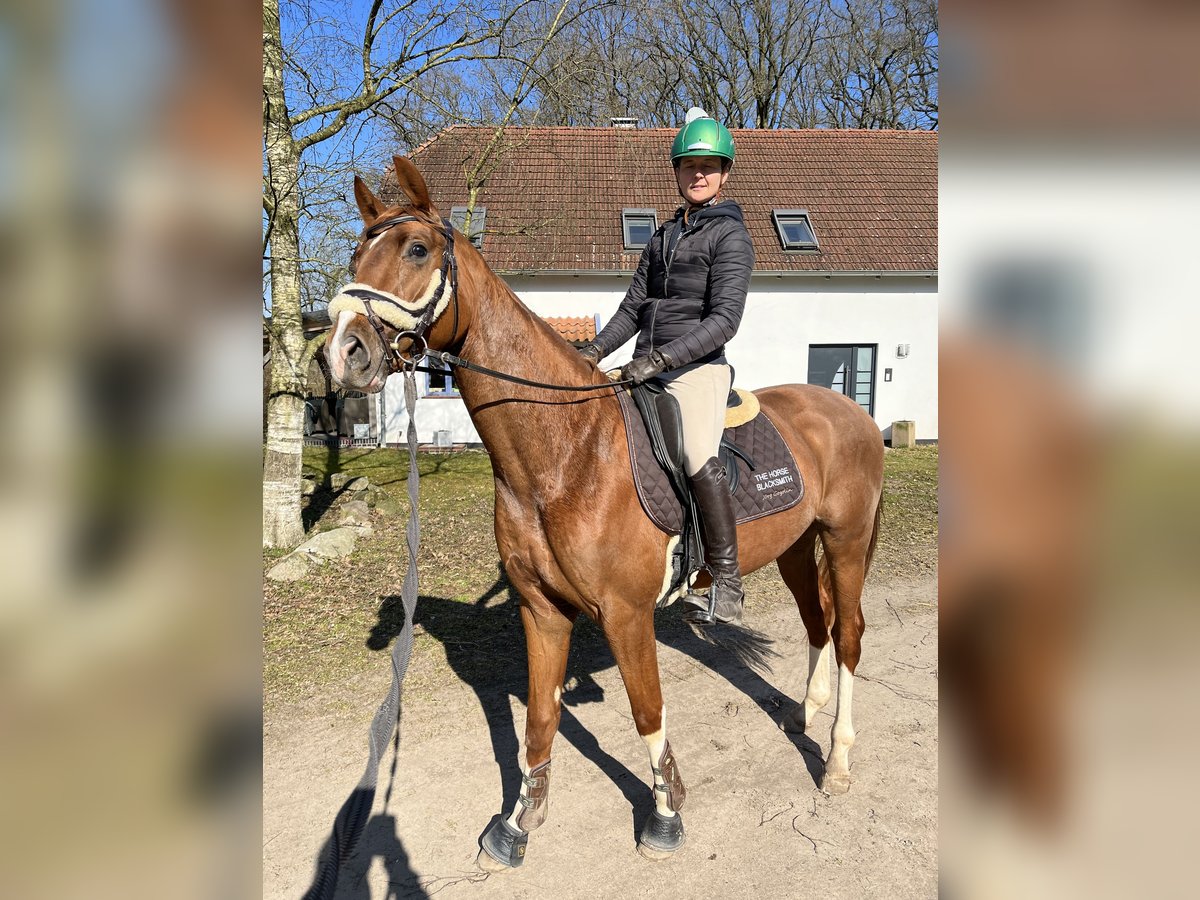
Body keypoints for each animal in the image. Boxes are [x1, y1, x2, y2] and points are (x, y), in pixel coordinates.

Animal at [324, 156, 885, 869]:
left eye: (416, 249)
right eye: (356, 254)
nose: (343, 352)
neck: (567, 453)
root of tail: (851, 412)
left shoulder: (626, 614)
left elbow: (648, 711)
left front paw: (666, 815)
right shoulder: (543, 611)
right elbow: (539, 718)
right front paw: (517, 822)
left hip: (845, 541)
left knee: (848, 636)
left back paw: (836, 761)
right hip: (793, 548)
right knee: (818, 624)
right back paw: (804, 714)